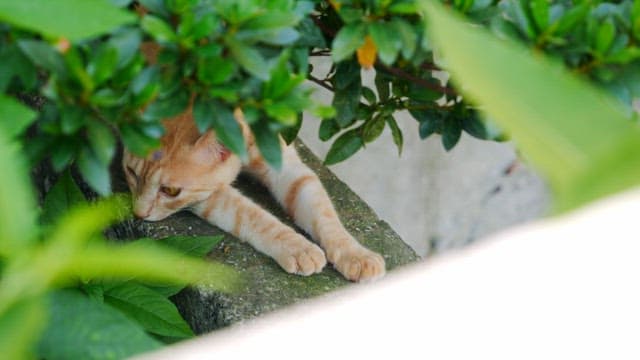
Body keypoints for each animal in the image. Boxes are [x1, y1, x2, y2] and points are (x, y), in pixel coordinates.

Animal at [124, 108, 384, 282]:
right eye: (130, 172)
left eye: (170, 191)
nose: (138, 213)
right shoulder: (211, 194)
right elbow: (253, 217)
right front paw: (299, 247)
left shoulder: (290, 170)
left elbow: (323, 213)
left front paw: (357, 254)